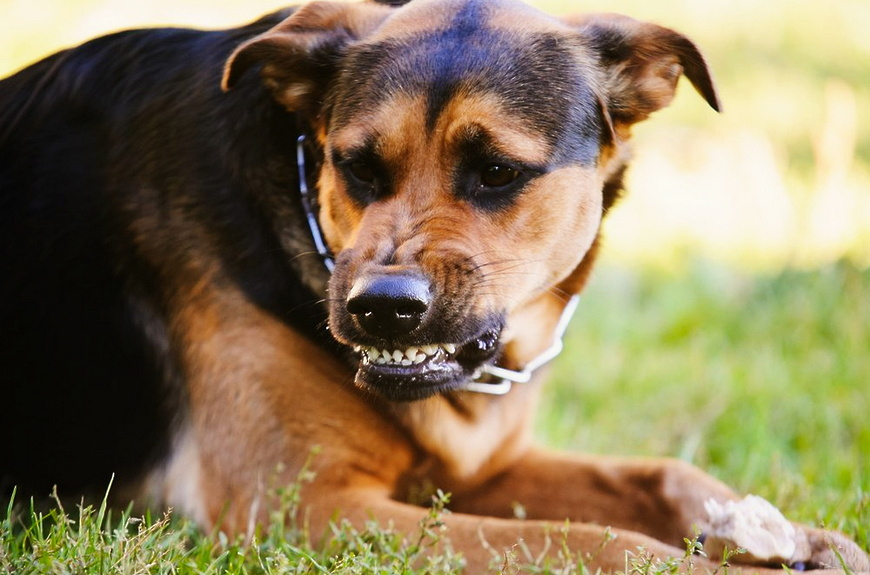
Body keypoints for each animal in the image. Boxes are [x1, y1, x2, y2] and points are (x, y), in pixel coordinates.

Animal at [2, 0, 868, 572]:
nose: (381, 309)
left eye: (497, 171)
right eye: (356, 166)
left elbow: (658, 472)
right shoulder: (302, 506)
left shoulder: (478, 468)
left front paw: (794, 537)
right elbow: (586, 540)